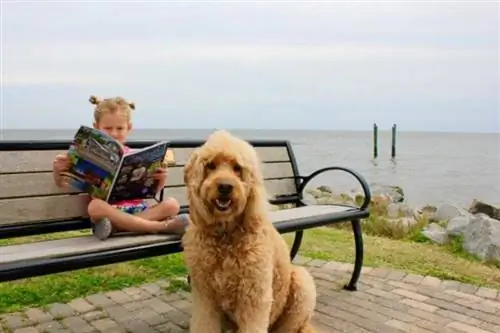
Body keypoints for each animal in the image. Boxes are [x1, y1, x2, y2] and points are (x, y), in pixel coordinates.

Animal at [183, 130, 316, 332]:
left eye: (237, 167)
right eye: (210, 165)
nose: (225, 187)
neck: (225, 235)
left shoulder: (254, 298)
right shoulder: (204, 296)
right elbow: (204, 324)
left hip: (302, 283)